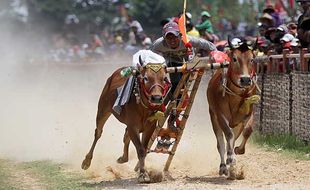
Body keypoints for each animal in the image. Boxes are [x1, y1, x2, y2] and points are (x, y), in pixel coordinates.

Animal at [207, 37, 260, 179]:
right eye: (235, 58)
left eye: (252, 59)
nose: (245, 80)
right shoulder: (220, 116)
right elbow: (228, 136)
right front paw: (230, 158)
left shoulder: (248, 114)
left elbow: (247, 131)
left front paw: (238, 151)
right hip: (213, 116)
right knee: (221, 143)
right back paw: (224, 166)